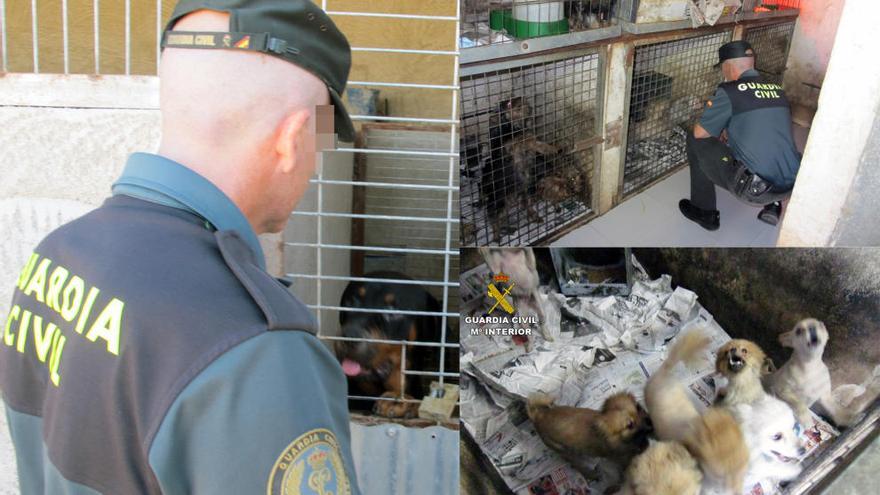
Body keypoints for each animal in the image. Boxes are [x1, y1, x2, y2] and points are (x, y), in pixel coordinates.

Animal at [524, 392, 652, 480]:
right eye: (630, 425)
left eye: (639, 408)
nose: (649, 420)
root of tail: (538, 416)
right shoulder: (621, 457)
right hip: (565, 451)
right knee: (575, 464)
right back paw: (591, 474)